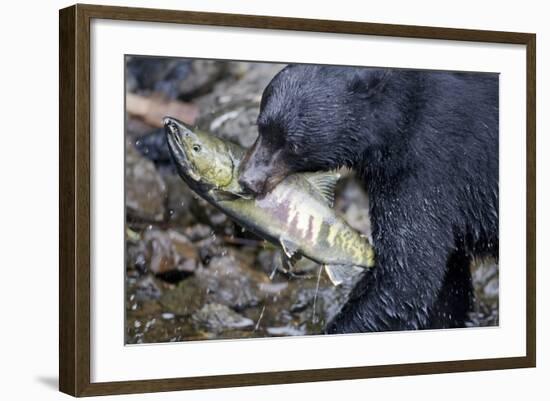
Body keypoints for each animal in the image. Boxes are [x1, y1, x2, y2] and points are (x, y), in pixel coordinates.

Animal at [239, 64, 498, 332]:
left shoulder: (426, 170)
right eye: (260, 128)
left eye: (293, 145)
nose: (248, 180)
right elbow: (447, 284)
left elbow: (405, 277)